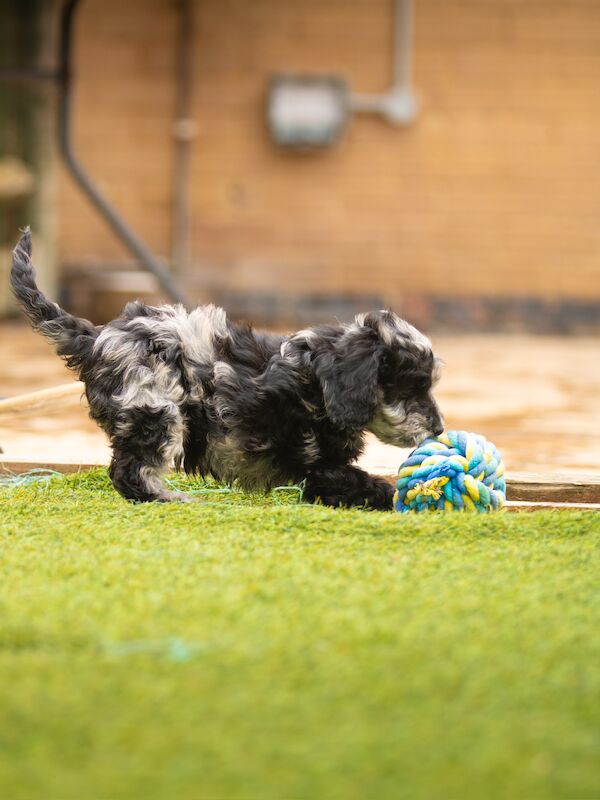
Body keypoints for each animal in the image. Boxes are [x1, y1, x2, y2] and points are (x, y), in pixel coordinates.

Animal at [9, 228, 442, 510]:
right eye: (412, 388)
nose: (438, 429)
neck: (316, 380)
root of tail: (95, 337)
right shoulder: (319, 464)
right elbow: (359, 482)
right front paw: (397, 496)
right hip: (156, 408)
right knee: (129, 471)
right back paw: (170, 499)